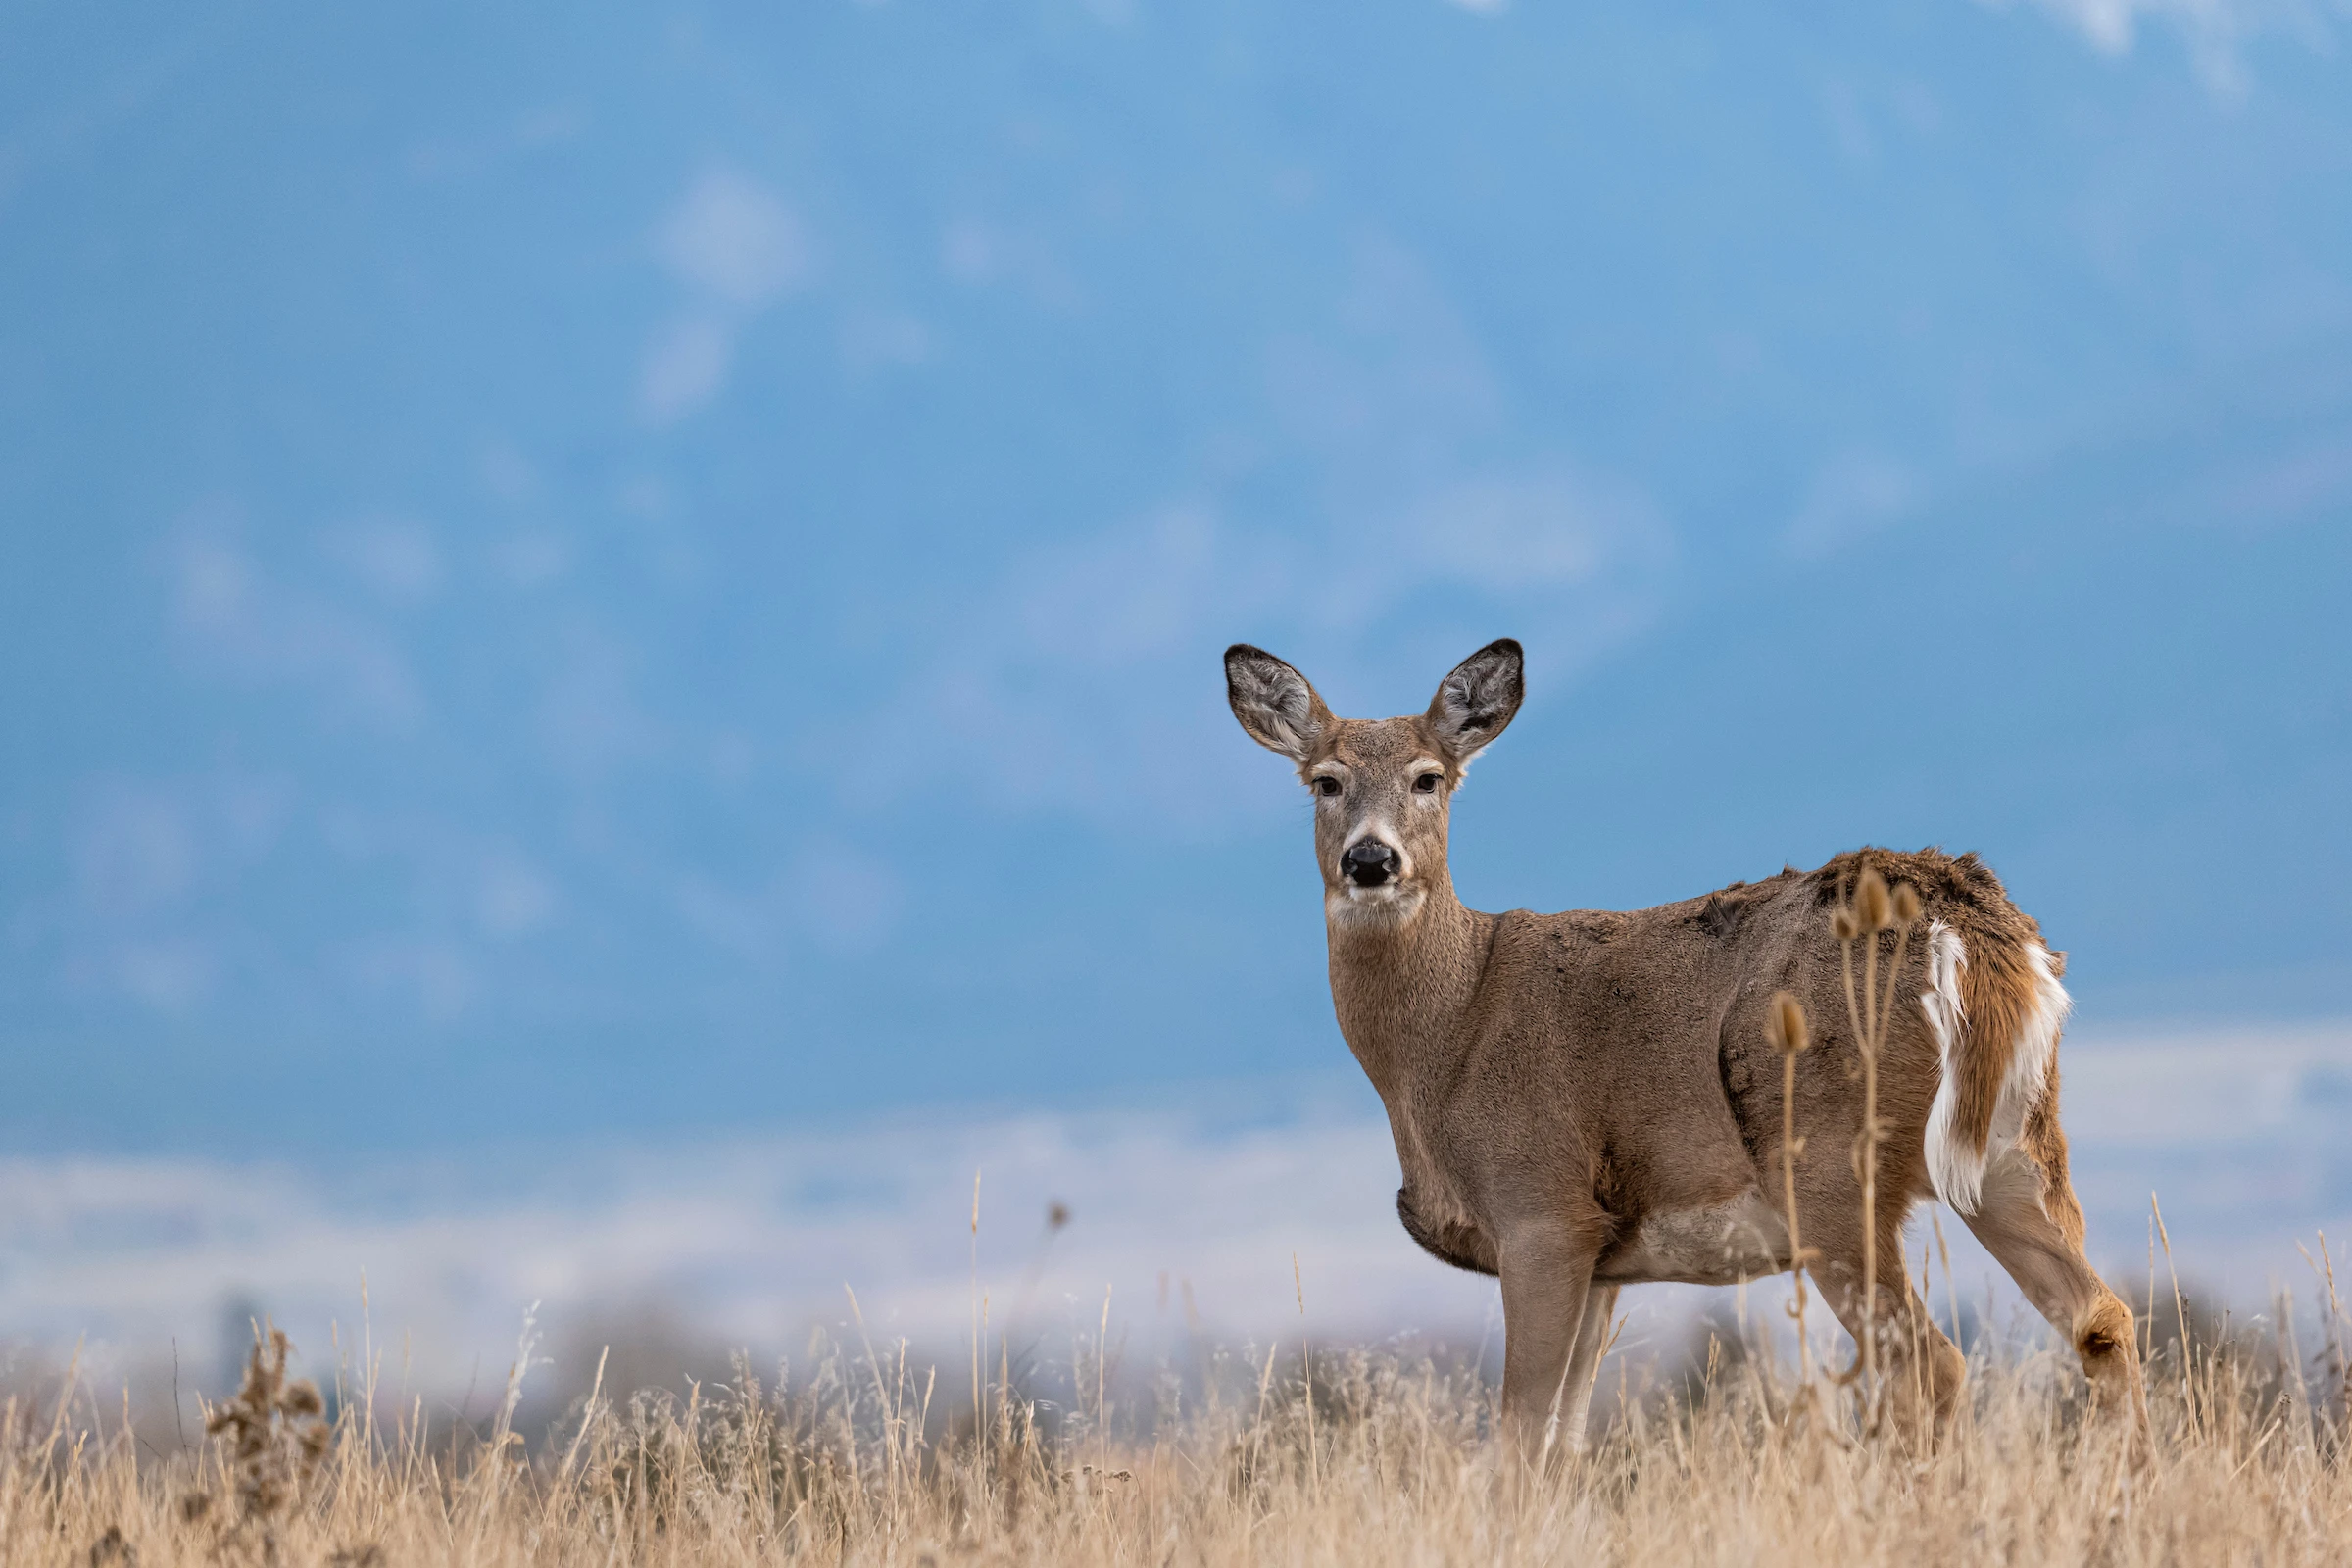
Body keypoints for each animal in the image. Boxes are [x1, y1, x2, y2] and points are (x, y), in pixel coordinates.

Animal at [1232, 634, 2154, 1457]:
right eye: (1325, 782)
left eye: (1430, 778)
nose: (1371, 858)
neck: (1451, 1032)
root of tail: (1964, 919)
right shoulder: (1605, 1262)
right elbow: (1563, 1442)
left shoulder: (1543, 1209)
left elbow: (1518, 1438)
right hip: (2015, 1145)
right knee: (2103, 1322)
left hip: (1826, 1162)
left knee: (1932, 1365)